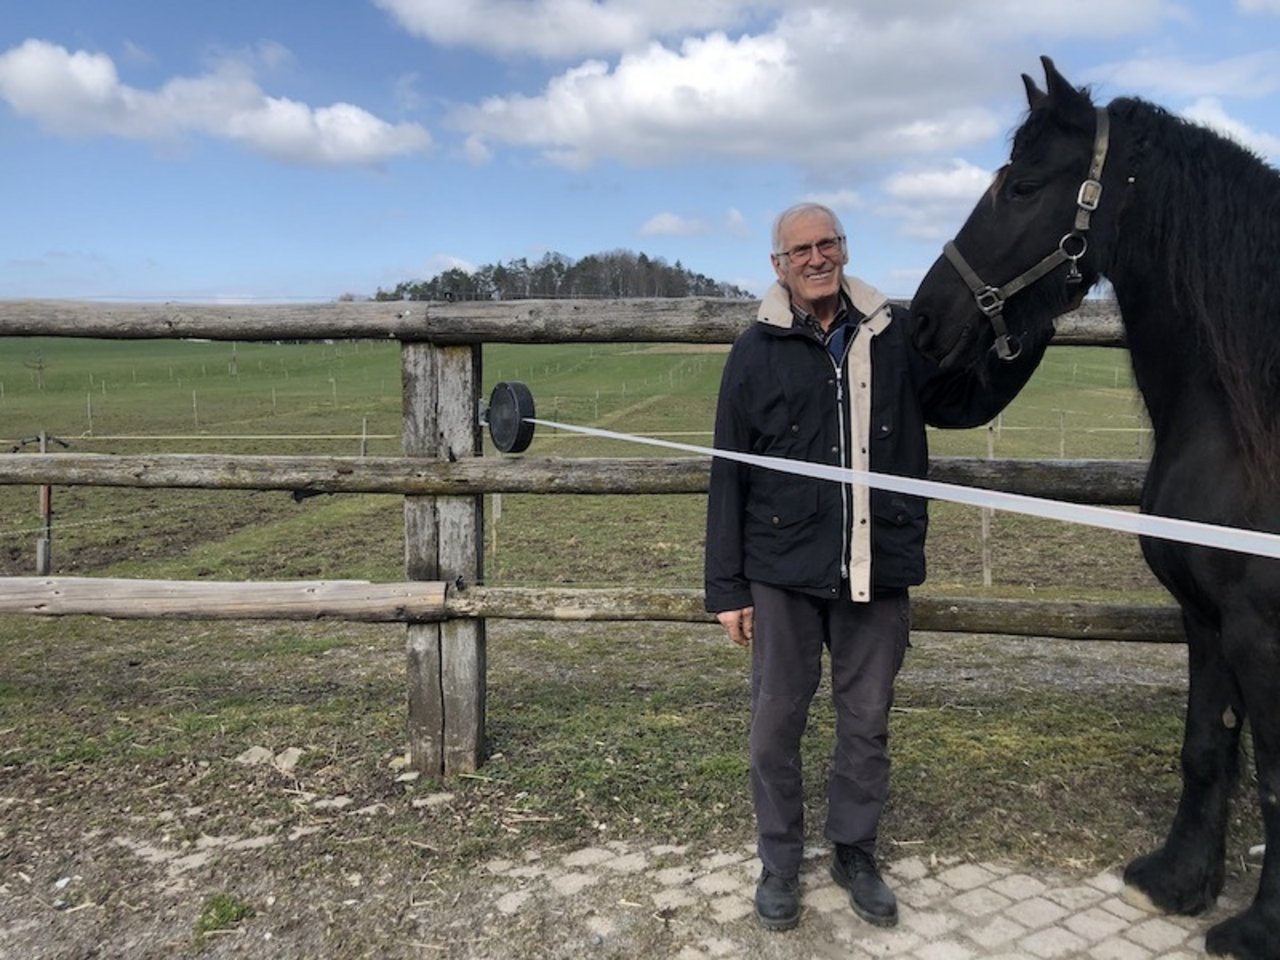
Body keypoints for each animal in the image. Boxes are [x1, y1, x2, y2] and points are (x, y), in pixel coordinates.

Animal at [911, 60, 1280, 960]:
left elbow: (1279, 775)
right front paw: (1179, 882)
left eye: (1022, 185)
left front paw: (1259, 927)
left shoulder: (1260, 626)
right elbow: (1207, 745)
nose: (926, 320)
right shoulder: (1207, 617)